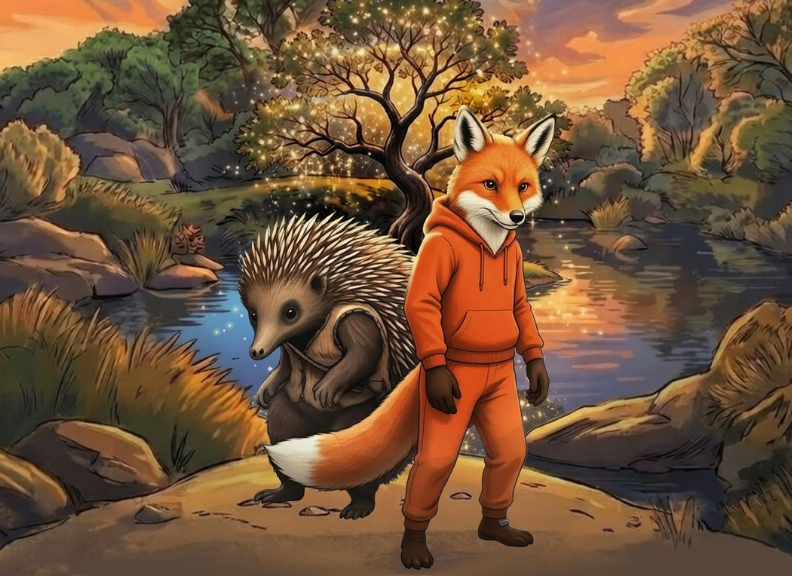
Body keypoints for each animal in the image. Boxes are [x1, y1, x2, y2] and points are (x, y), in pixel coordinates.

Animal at [264, 106, 554, 570]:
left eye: (523, 186)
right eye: (490, 184)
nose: (517, 219)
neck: (489, 246)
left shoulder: (515, 280)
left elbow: (523, 314)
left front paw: (539, 374)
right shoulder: (430, 267)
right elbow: (419, 306)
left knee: (505, 458)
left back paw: (493, 529)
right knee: (426, 468)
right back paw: (408, 545)